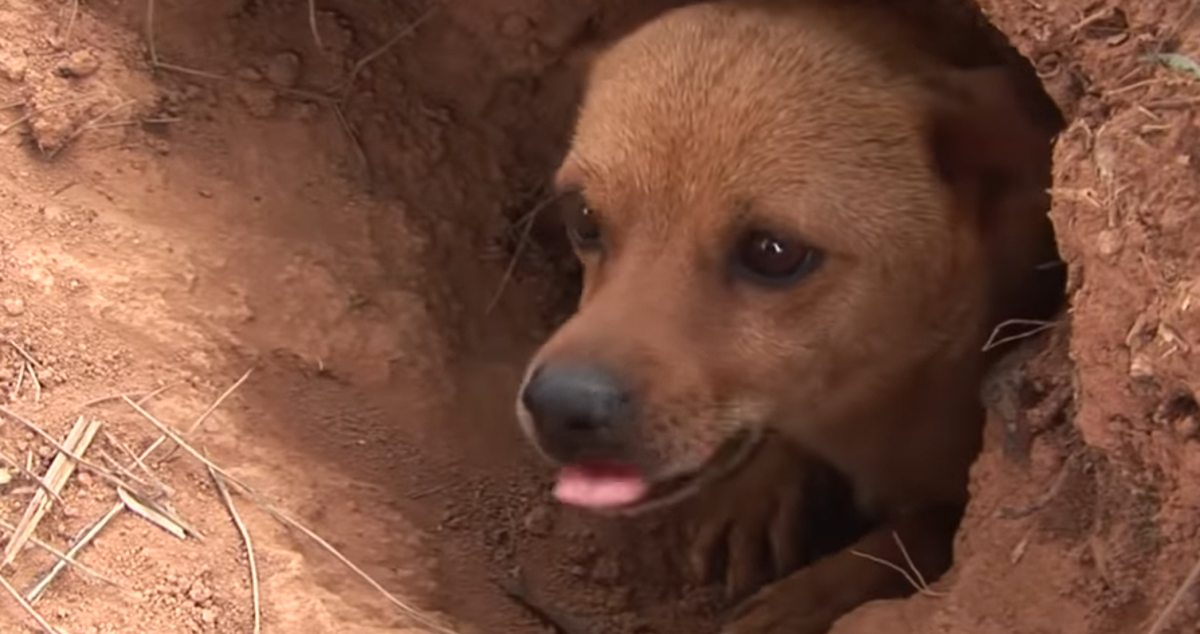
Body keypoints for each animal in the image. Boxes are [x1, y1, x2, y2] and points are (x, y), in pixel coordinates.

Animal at [516, 2, 1060, 629]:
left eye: (774, 252)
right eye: (582, 216)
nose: (559, 406)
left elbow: (910, 539)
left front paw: (810, 595)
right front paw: (760, 491)